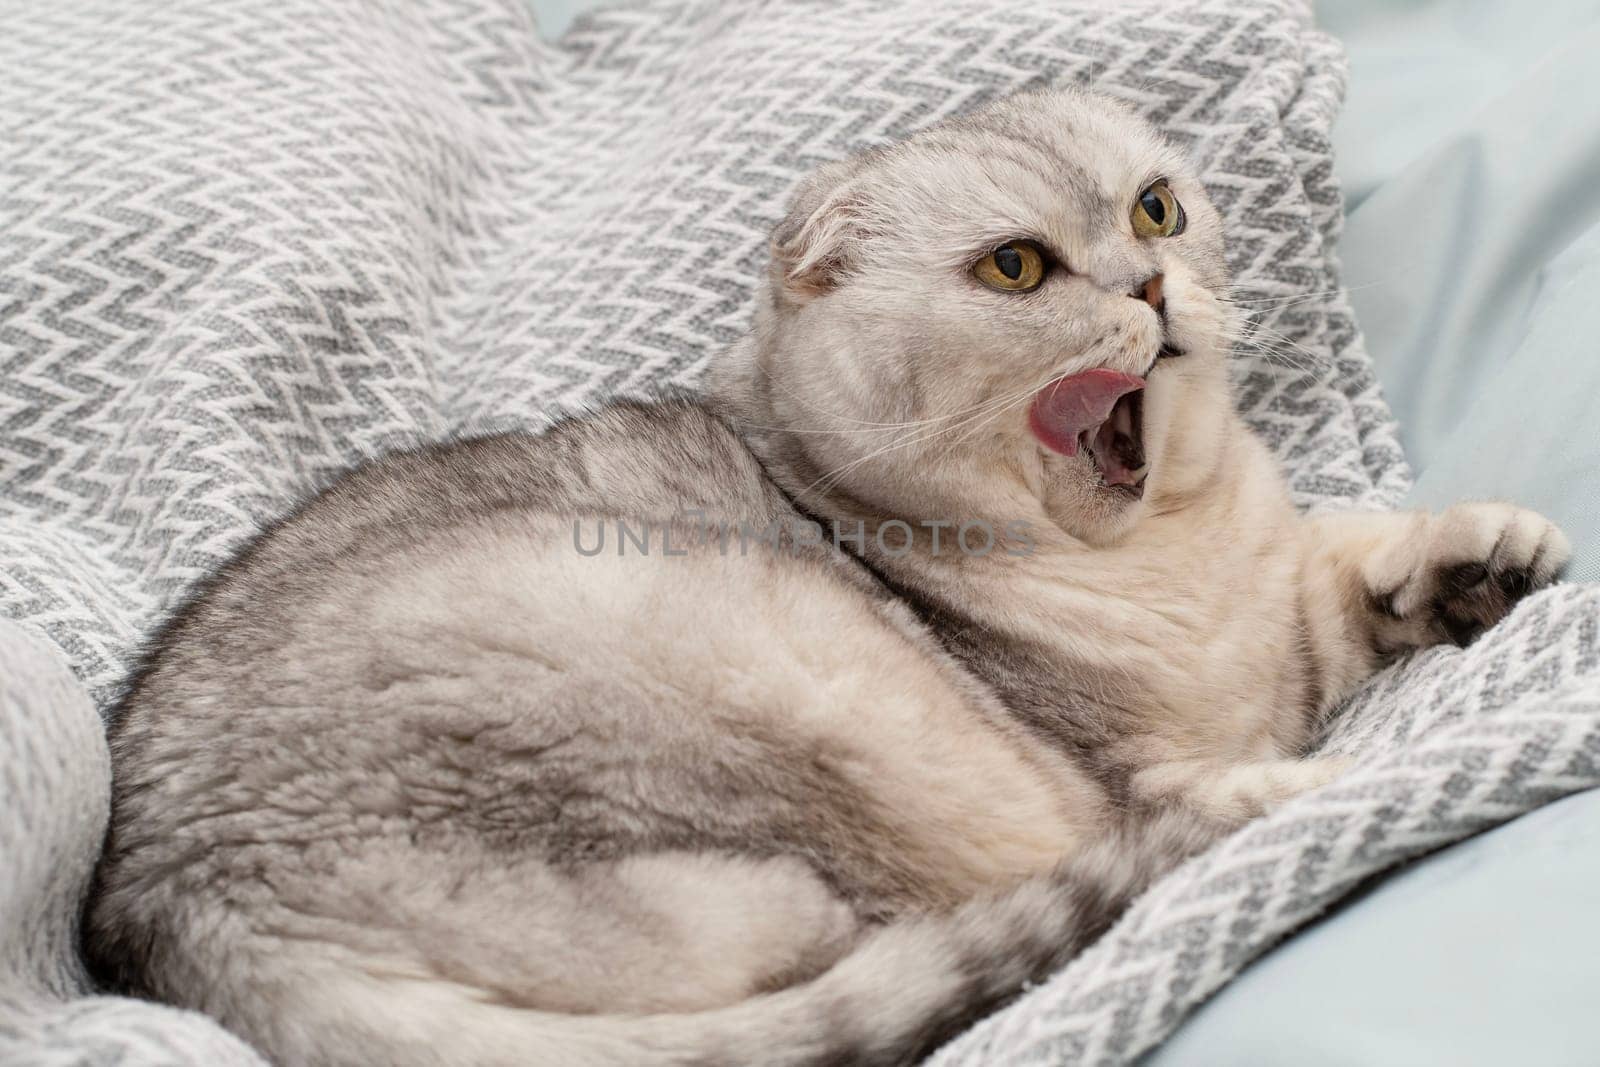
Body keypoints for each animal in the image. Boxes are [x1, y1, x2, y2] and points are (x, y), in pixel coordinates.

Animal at [81, 85, 1568, 1067]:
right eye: (1016, 267)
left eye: (1158, 207)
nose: (1150, 287)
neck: (1165, 554)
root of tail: (188, 906)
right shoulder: (1113, 758)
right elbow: (1193, 776)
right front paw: (1313, 765)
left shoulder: (1283, 599)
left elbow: (1353, 558)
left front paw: (1483, 561)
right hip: (783, 699)